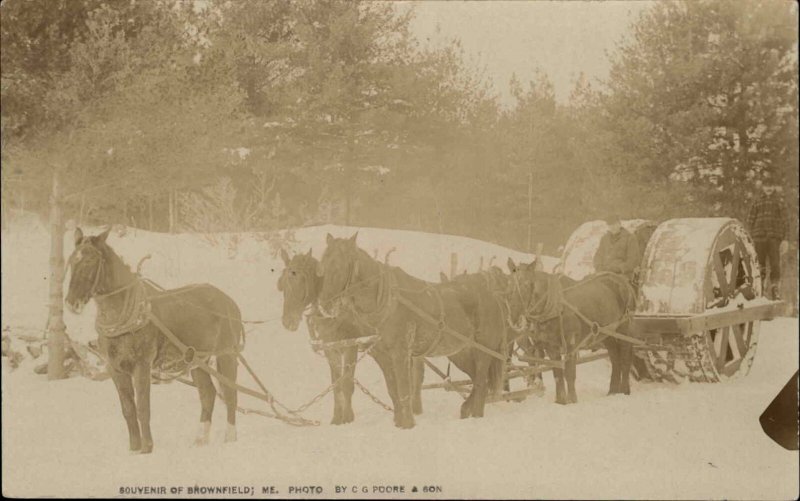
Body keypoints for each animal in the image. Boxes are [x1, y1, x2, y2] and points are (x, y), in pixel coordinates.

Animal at [66, 228, 242, 454]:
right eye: (72, 260)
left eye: (90, 260)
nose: (71, 303)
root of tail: (229, 302)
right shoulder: (116, 369)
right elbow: (128, 410)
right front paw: (134, 448)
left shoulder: (142, 365)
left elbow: (142, 408)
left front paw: (147, 448)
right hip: (197, 362)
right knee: (208, 394)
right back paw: (201, 439)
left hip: (226, 356)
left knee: (230, 394)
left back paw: (231, 437)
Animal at [278, 247, 424, 422]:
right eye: (281, 284)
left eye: (299, 279)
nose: (287, 321)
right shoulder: (330, 348)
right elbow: (336, 384)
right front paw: (336, 419)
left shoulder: (350, 346)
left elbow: (346, 383)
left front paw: (347, 418)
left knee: (416, 372)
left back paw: (415, 408)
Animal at [316, 232, 504, 428]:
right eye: (322, 265)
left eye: (339, 267)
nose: (323, 306)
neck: (387, 301)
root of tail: (492, 294)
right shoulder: (382, 355)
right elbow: (393, 389)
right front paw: (399, 421)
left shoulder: (401, 351)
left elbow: (404, 388)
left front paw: (407, 424)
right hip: (461, 353)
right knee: (476, 380)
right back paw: (466, 409)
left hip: (484, 350)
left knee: (481, 383)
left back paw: (477, 416)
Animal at [506, 258, 636, 402]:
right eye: (509, 283)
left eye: (526, 284)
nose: (513, 316)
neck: (554, 306)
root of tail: (622, 280)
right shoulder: (551, 347)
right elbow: (557, 374)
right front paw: (560, 401)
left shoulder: (571, 344)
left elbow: (569, 373)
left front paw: (572, 400)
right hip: (606, 333)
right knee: (615, 357)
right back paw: (612, 391)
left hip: (623, 328)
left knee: (625, 356)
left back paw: (624, 390)